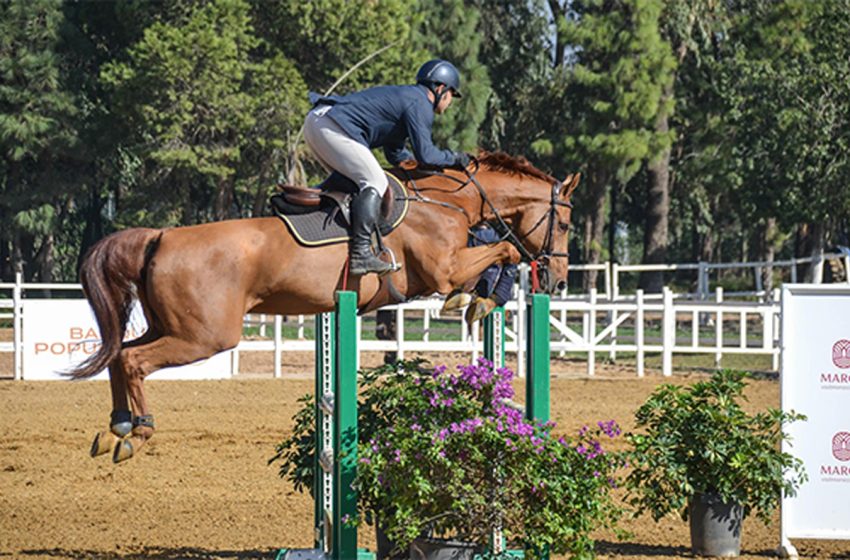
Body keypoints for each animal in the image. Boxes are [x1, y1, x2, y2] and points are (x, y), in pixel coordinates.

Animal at [69, 151, 580, 462]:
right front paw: (476, 298)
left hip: (171, 326)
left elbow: (499, 254)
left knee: (118, 354)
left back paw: (116, 427)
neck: (444, 201)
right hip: (204, 336)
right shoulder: (444, 269)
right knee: (133, 360)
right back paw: (137, 433)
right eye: (566, 225)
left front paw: (481, 299)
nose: (558, 279)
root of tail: (159, 236)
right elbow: (506, 250)